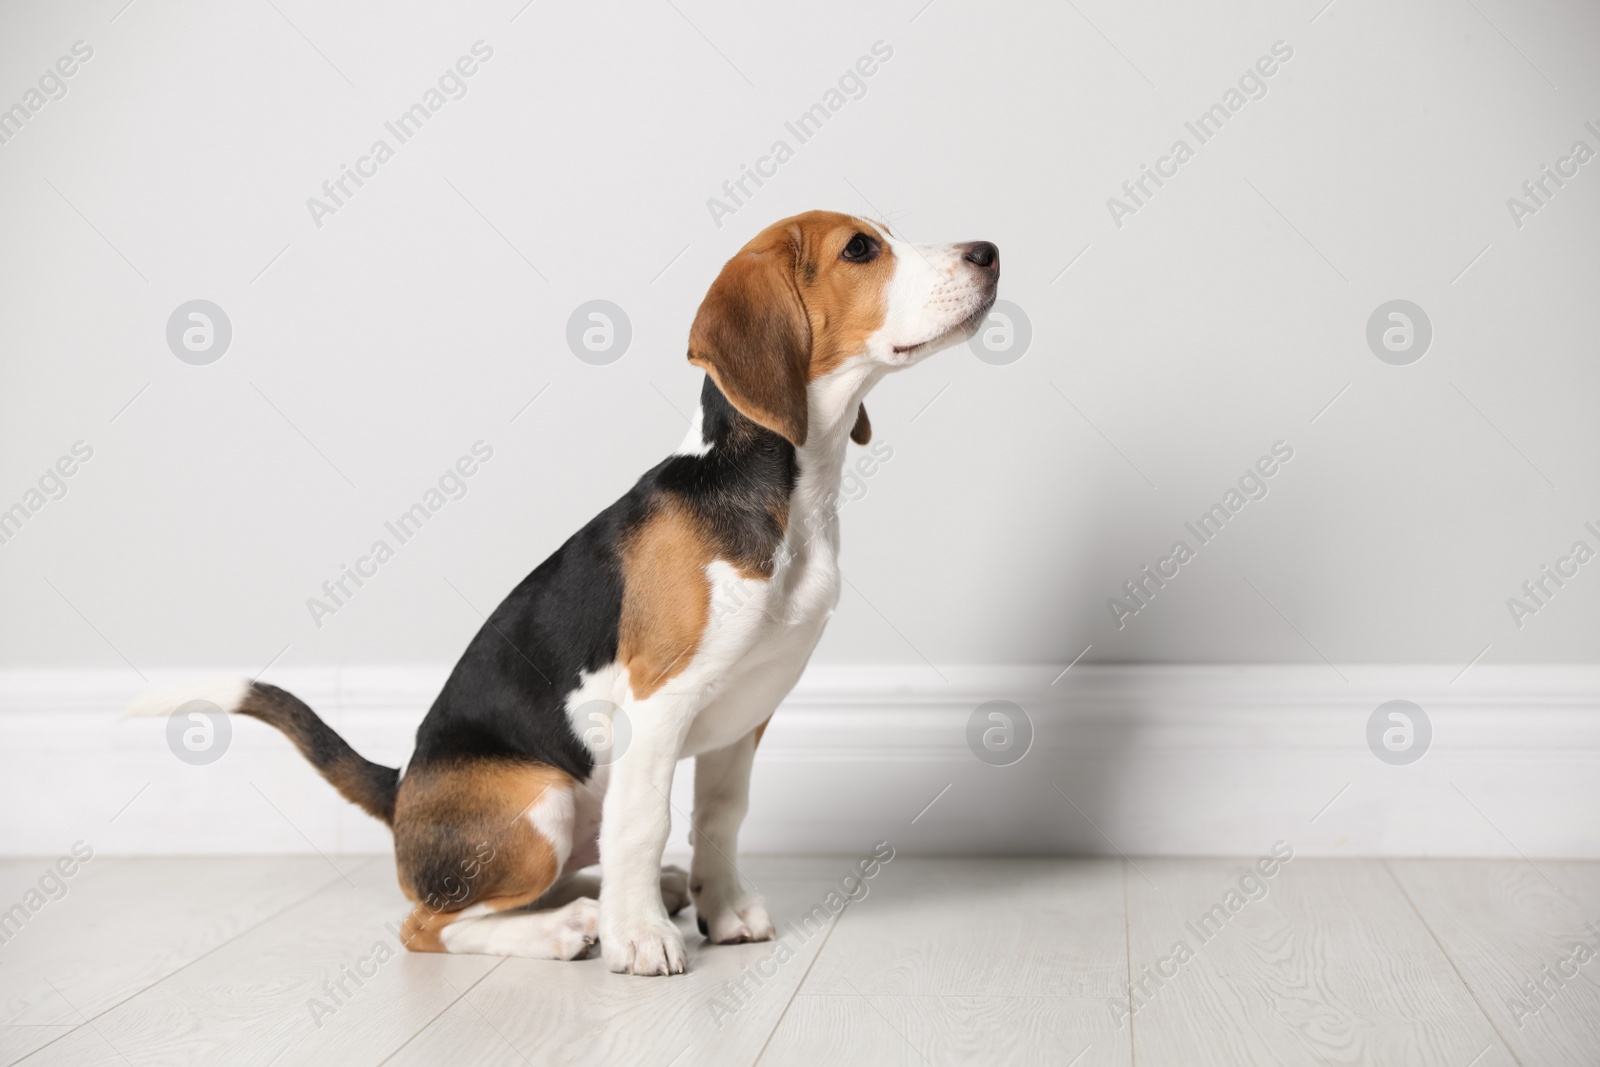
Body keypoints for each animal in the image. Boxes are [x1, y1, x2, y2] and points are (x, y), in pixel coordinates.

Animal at [128, 207, 998, 979]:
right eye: (860, 249)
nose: (989, 252)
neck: (787, 493)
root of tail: (402, 783)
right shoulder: (658, 701)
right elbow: (648, 821)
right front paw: (641, 939)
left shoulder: (745, 711)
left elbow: (719, 817)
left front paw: (718, 906)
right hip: (541, 796)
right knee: (432, 922)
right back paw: (571, 927)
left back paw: (626, 897)